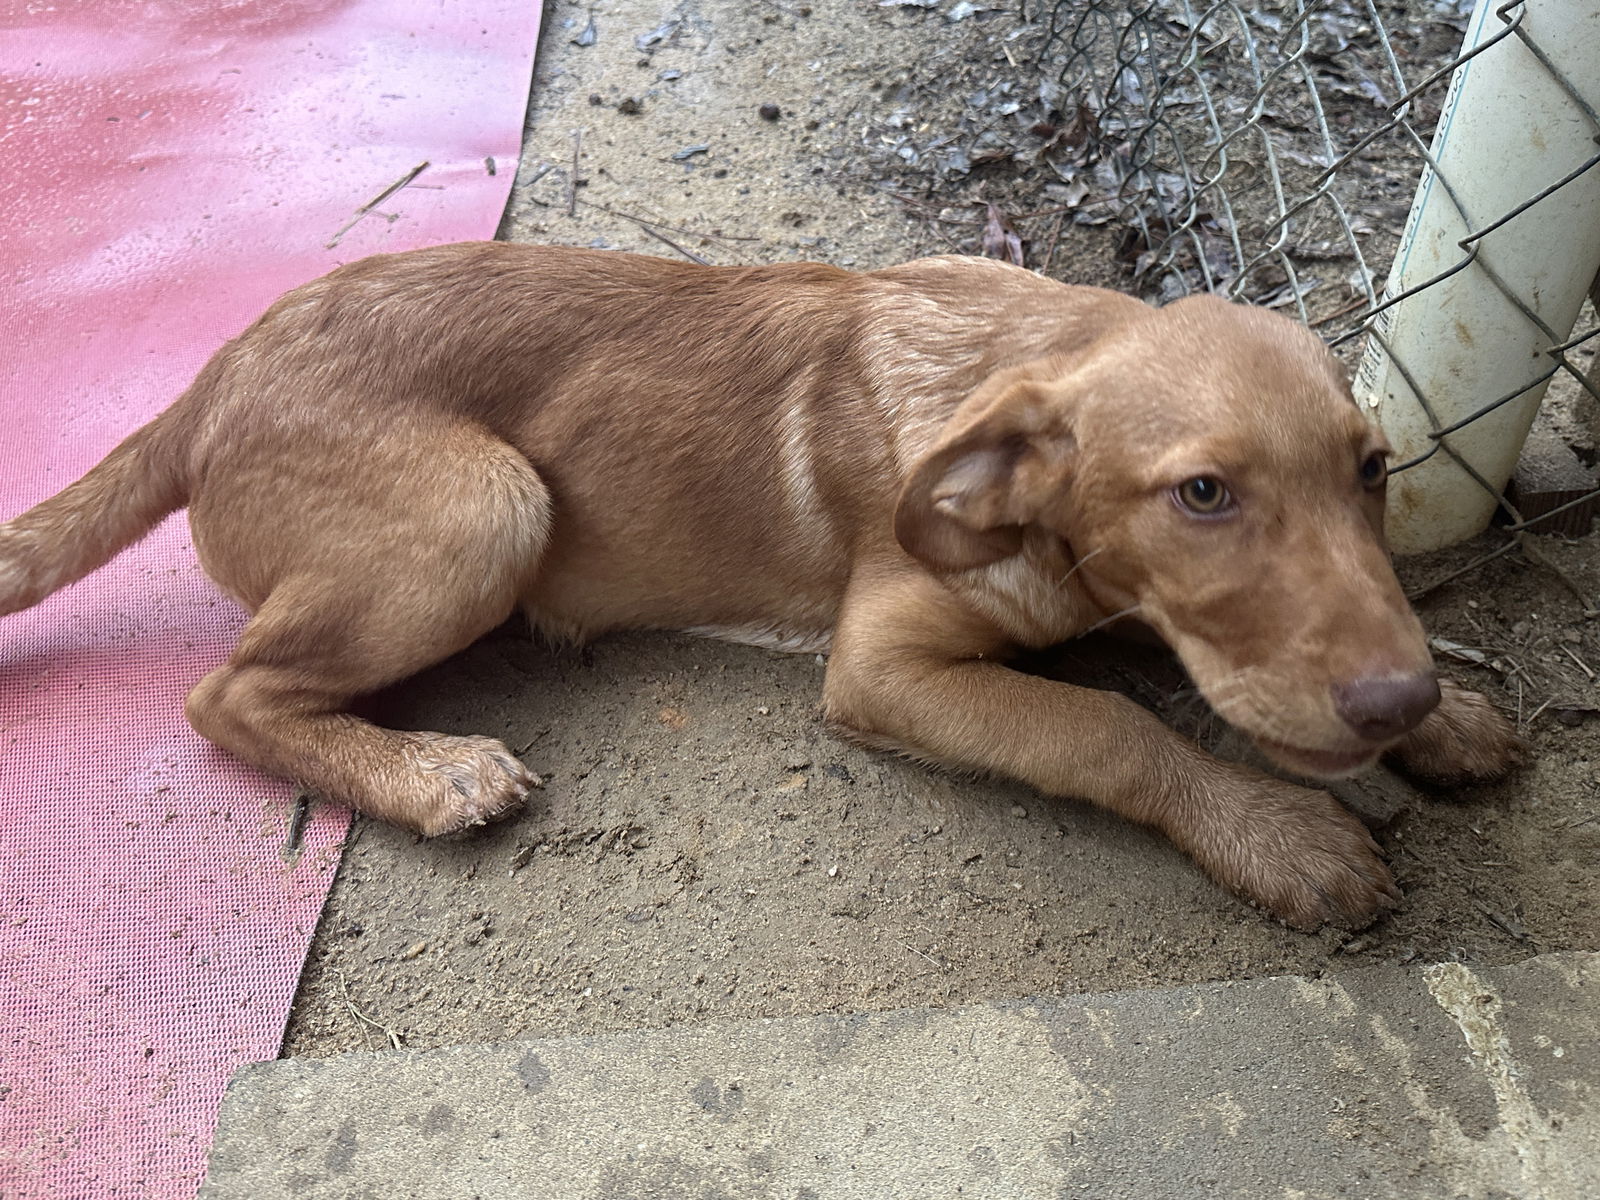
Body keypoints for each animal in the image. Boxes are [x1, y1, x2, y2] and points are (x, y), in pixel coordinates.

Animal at [3, 246, 1523, 928]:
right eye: (1203, 495)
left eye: (1374, 470)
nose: (1394, 700)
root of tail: (210, 384)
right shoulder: (884, 668)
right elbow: (1104, 727)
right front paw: (1275, 834)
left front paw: (1445, 719)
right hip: (491, 506)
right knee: (226, 695)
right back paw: (428, 772)